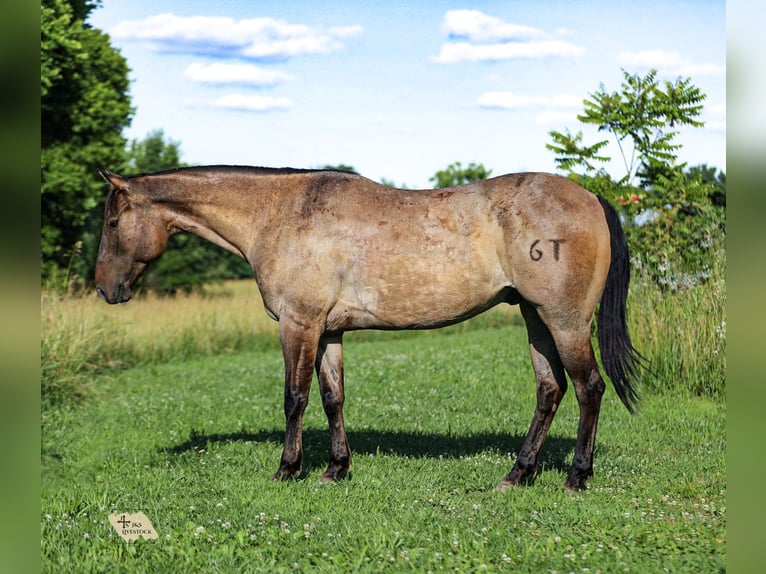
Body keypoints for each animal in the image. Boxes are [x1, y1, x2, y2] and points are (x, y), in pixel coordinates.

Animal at [94, 165, 643, 491]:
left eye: (113, 223)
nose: (104, 288)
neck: (280, 214)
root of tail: (591, 197)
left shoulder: (298, 324)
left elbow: (295, 398)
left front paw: (287, 468)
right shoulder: (328, 331)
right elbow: (332, 397)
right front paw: (337, 468)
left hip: (564, 321)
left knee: (588, 388)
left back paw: (576, 476)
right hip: (535, 317)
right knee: (550, 390)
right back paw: (518, 473)